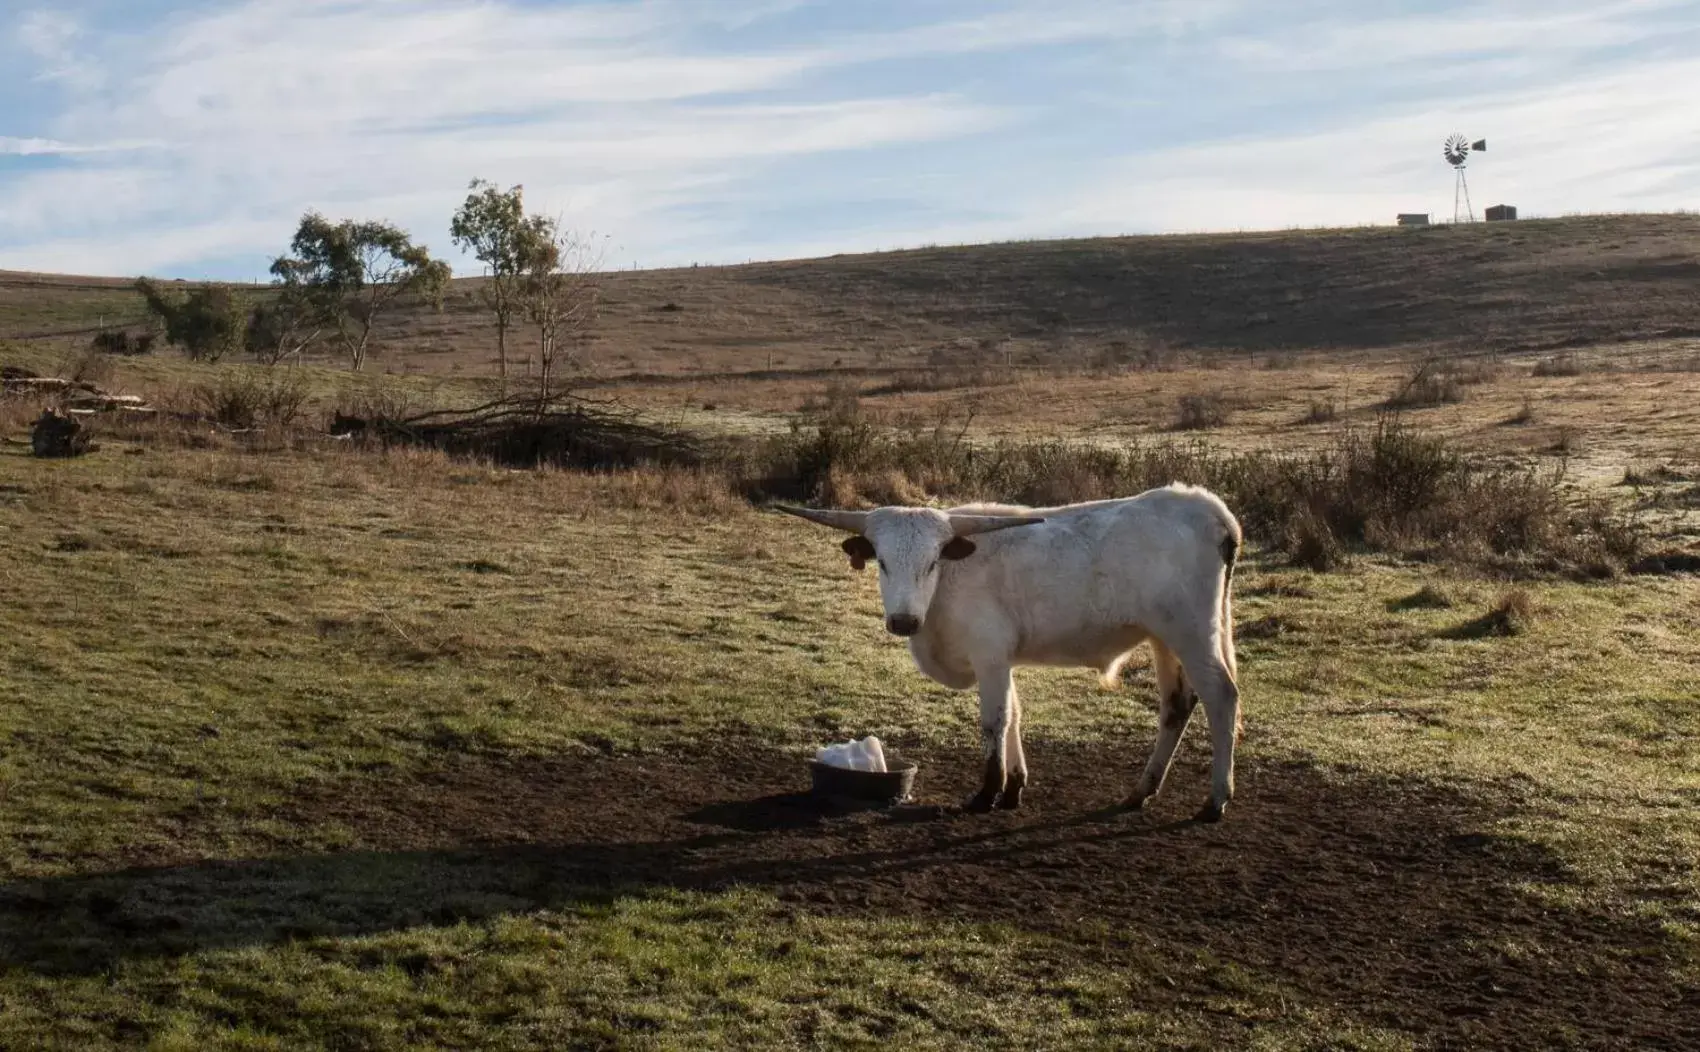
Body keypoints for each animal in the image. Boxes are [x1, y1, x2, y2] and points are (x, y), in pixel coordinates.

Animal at [778, 486, 1244, 822]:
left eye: (932, 562)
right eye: (883, 563)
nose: (904, 621)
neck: (948, 584)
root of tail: (1205, 506)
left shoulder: (989, 657)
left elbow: (995, 721)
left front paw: (987, 793)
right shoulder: (1002, 660)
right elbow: (1016, 715)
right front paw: (1014, 788)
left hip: (1192, 635)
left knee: (1221, 697)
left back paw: (1215, 799)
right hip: (1164, 640)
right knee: (1177, 704)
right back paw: (1141, 791)